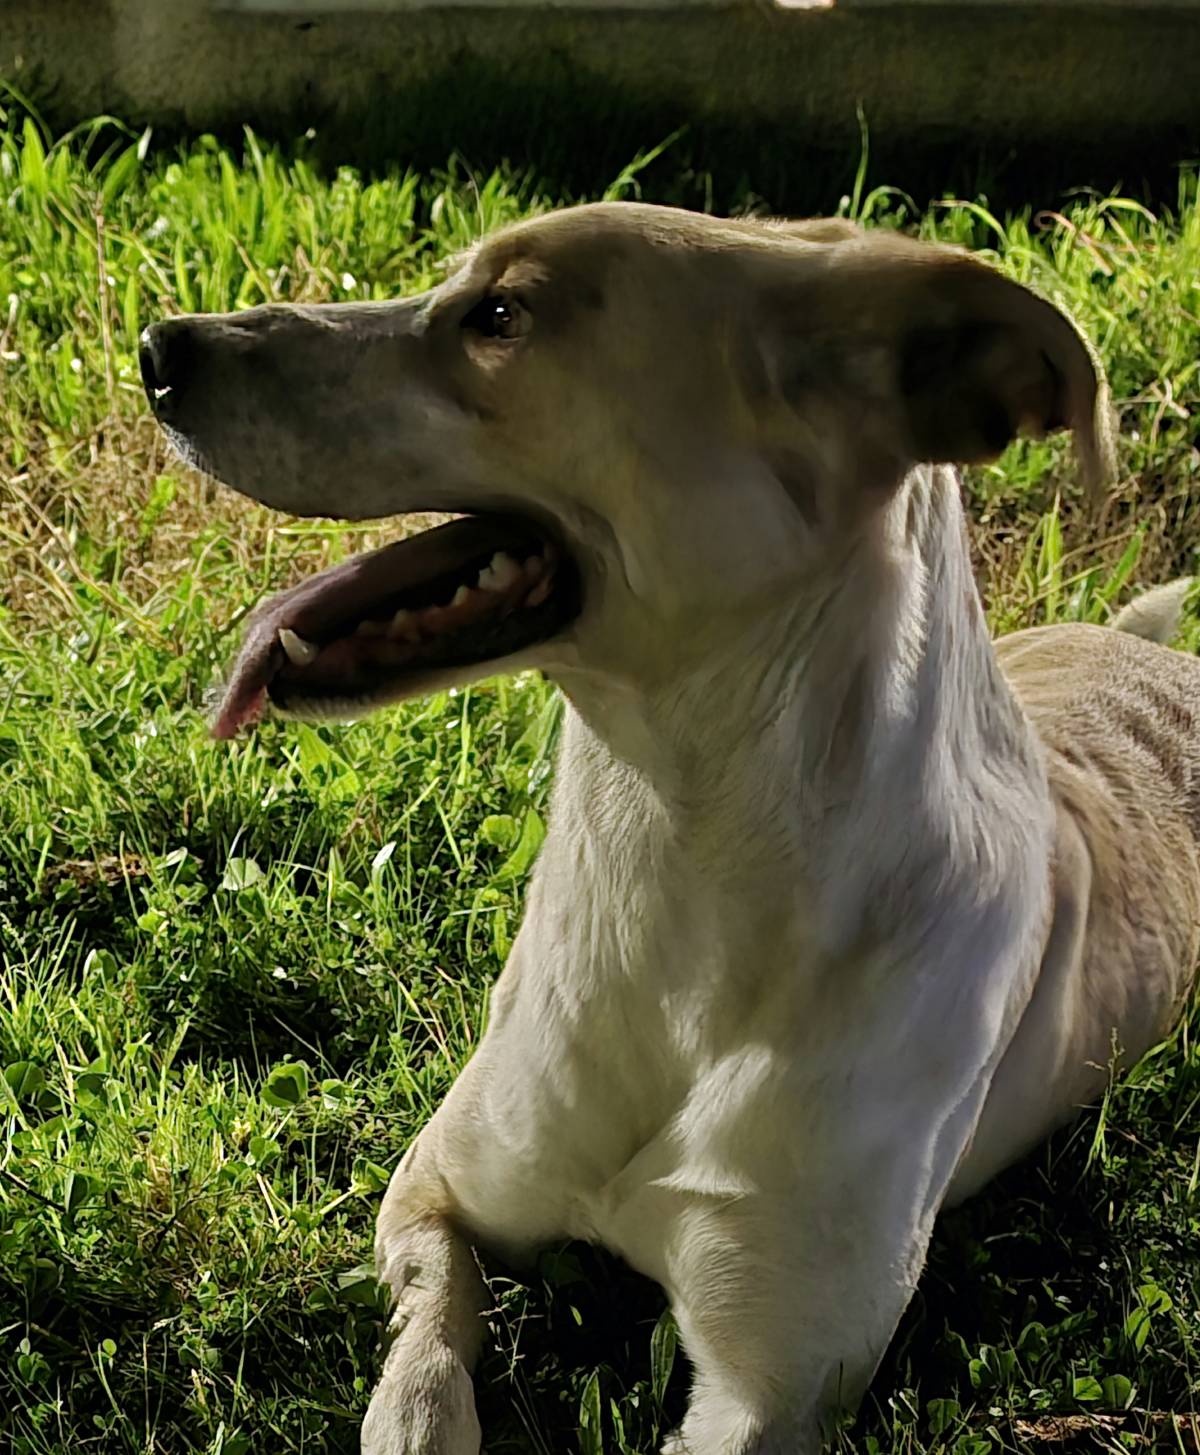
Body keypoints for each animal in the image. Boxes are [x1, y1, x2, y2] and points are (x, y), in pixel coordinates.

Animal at [142, 208, 1198, 1455]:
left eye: (500, 315)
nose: (158, 346)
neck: (672, 858)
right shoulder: (435, 1188)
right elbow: (430, 1359)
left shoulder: (769, 1389)